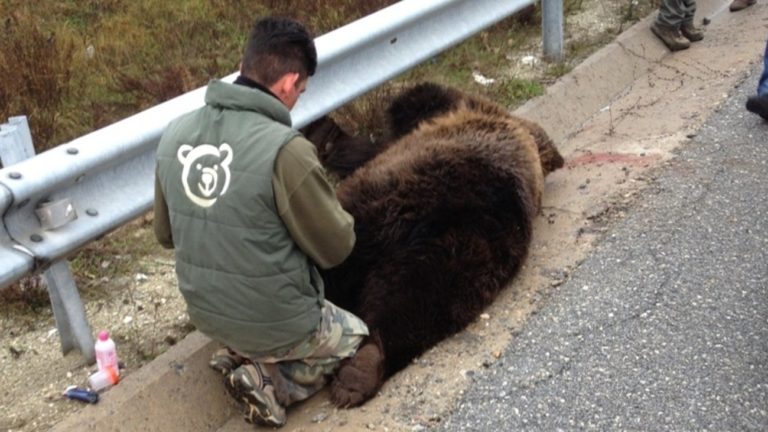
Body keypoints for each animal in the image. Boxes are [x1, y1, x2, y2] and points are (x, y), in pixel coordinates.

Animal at [302, 82, 564, 408]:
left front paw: (324, 133)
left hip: (370, 211)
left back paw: (356, 372)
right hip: (469, 247)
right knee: (423, 300)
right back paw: (364, 369)